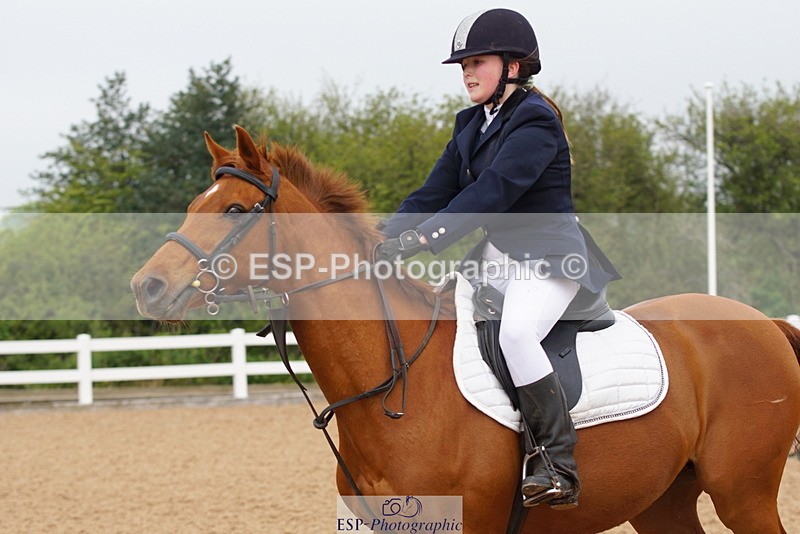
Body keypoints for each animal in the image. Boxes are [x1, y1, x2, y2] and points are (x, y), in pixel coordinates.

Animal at [131, 125, 800, 533]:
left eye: (234, 210)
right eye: (193, 205)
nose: (148, 286)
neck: (395, 385)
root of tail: (765, 322)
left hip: (741, 493)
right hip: (664, 501)